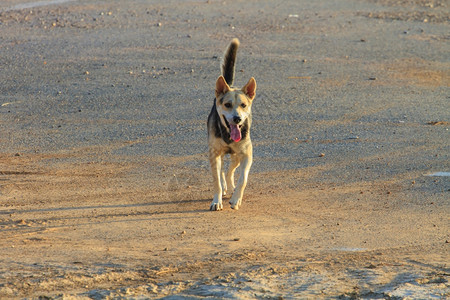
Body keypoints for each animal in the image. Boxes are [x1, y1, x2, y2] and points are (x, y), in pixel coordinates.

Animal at [207, 38, 256, 211]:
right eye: (227, 105)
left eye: (243, 105)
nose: (237, 119)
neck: (228, 134)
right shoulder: (214, 154)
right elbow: (216, 181)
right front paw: (216, 201)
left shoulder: (247, 155)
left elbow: (243, 179)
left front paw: (236, 200)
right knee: (222, 172)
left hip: (237, 156)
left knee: (229, 171)